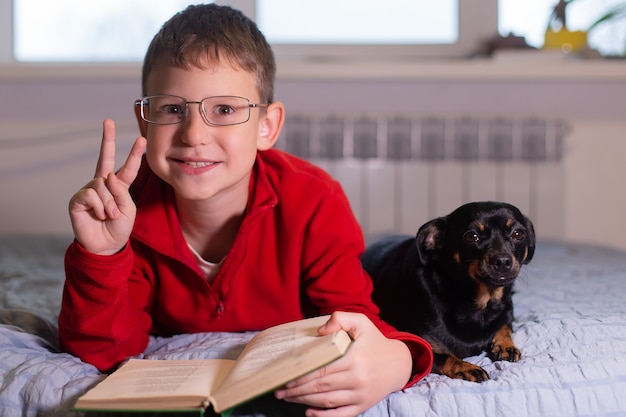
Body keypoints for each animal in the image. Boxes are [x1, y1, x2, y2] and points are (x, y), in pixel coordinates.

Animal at [364, 201, 532, 380]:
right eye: (472, 236)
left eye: (517, 234)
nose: (502, 261)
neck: (480, 306)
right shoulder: (419, 349)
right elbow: (444, 357)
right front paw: (468, 368)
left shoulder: (507, 312)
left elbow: (504, 326)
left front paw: (505, 345)